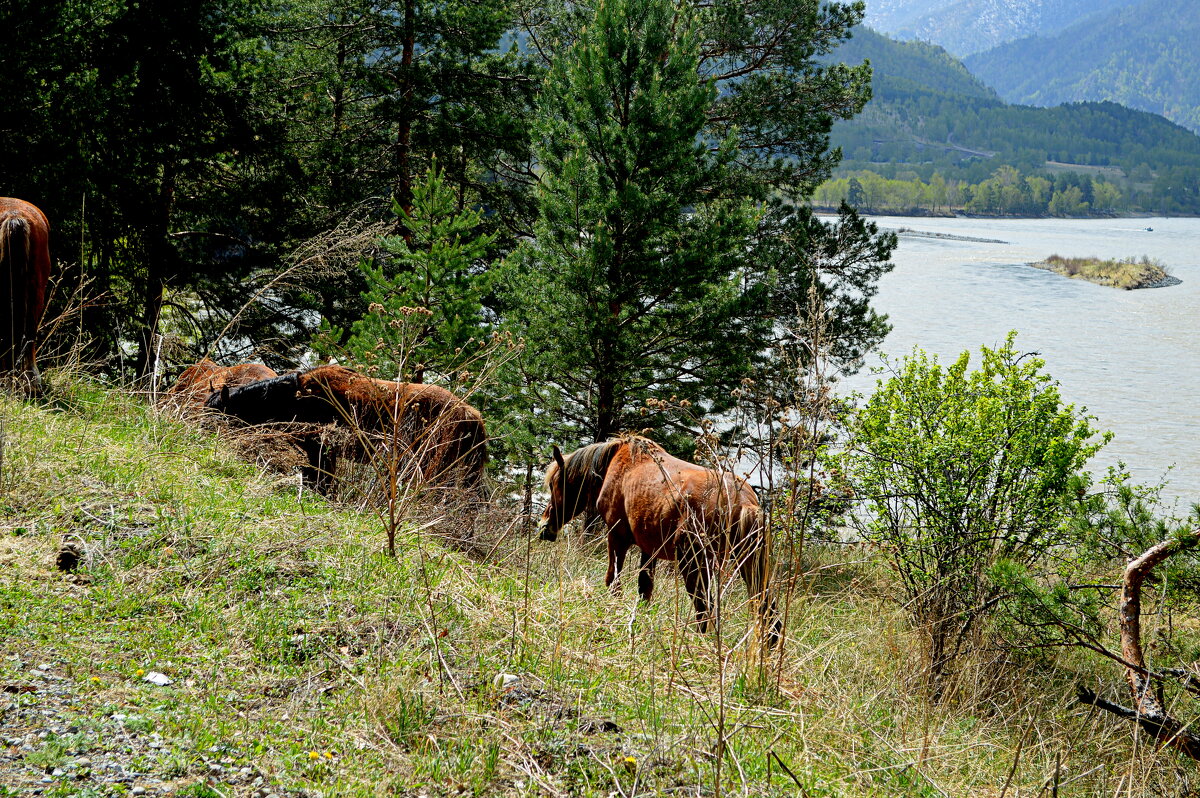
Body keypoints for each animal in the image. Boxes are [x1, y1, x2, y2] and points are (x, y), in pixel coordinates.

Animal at [206, 364, 487, 494]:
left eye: (217, 414)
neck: (294, 396)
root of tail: (472, 416)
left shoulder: (323, 451)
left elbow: (324, 483)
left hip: (434, 468)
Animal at [540, 432, 782, 643]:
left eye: (554, 484)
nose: (544, 526)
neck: (616, 464)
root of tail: (744, 502)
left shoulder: (617, 537)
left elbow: (613, 581)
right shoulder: (649, 548)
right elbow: (645, 588)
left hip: (694, 563)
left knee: (704, 608)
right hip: (751, 563)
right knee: (768, 612)